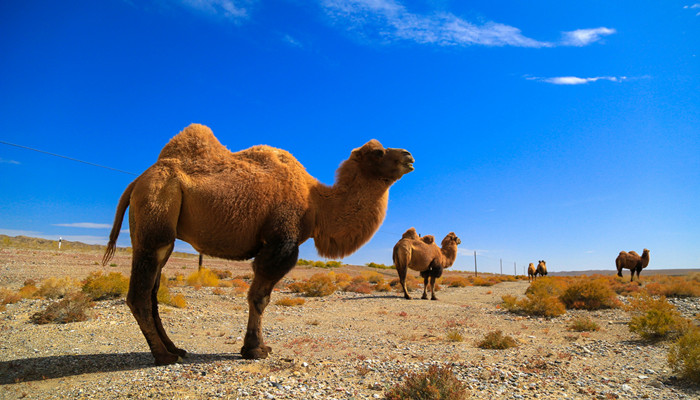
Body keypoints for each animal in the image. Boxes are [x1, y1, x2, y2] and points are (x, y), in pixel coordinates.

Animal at [101, 123, 412, 364]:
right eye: (378, 152)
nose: (409, 155)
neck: (315, 203)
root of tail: (137, 181)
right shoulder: (281, 242)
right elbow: (259, 297)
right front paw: (255, 349)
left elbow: (261, 297)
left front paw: (257, 346)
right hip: (156, 215)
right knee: (140, 294)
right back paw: (163, 356)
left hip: (161, 231)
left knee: (153, 293)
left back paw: (175, 349)